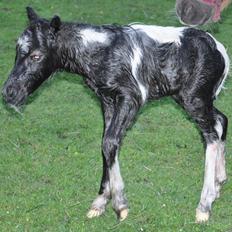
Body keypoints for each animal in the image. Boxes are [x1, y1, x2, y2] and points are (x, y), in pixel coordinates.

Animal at [2, 7, 230, 223]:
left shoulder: (131, 98)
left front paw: (120, 205)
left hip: (194, 99)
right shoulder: (107, 101)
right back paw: (219, 182)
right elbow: (106, 143)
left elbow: (110, 142)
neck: (102, 52)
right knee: (221, 121)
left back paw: (204, 205)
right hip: (189, 98)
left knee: (210, 136)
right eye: (17, 51)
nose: (8, 92)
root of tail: (220, 50)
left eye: (36, 55)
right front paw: (99, 203)